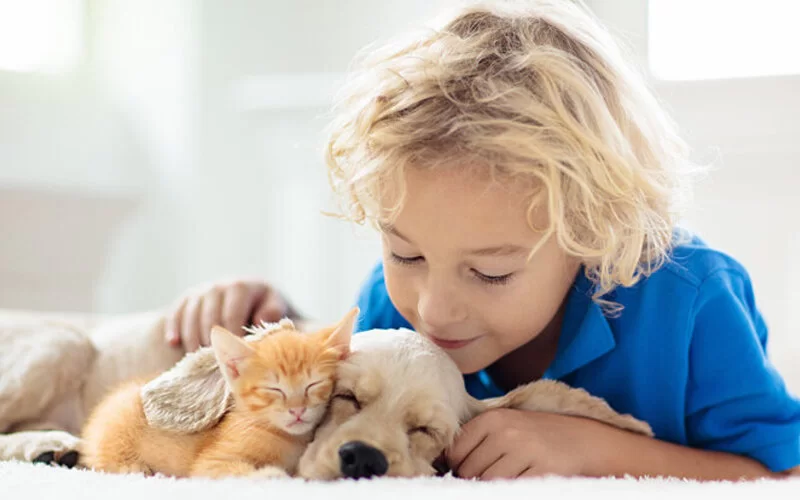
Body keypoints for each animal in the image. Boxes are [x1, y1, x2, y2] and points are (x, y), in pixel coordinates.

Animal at [81, 306, 356, 478]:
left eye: (314, 384)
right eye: (273, 389)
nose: (297, 410)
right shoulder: (211, 463)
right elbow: (240, 472)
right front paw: (271, 475)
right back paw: (132, 467)